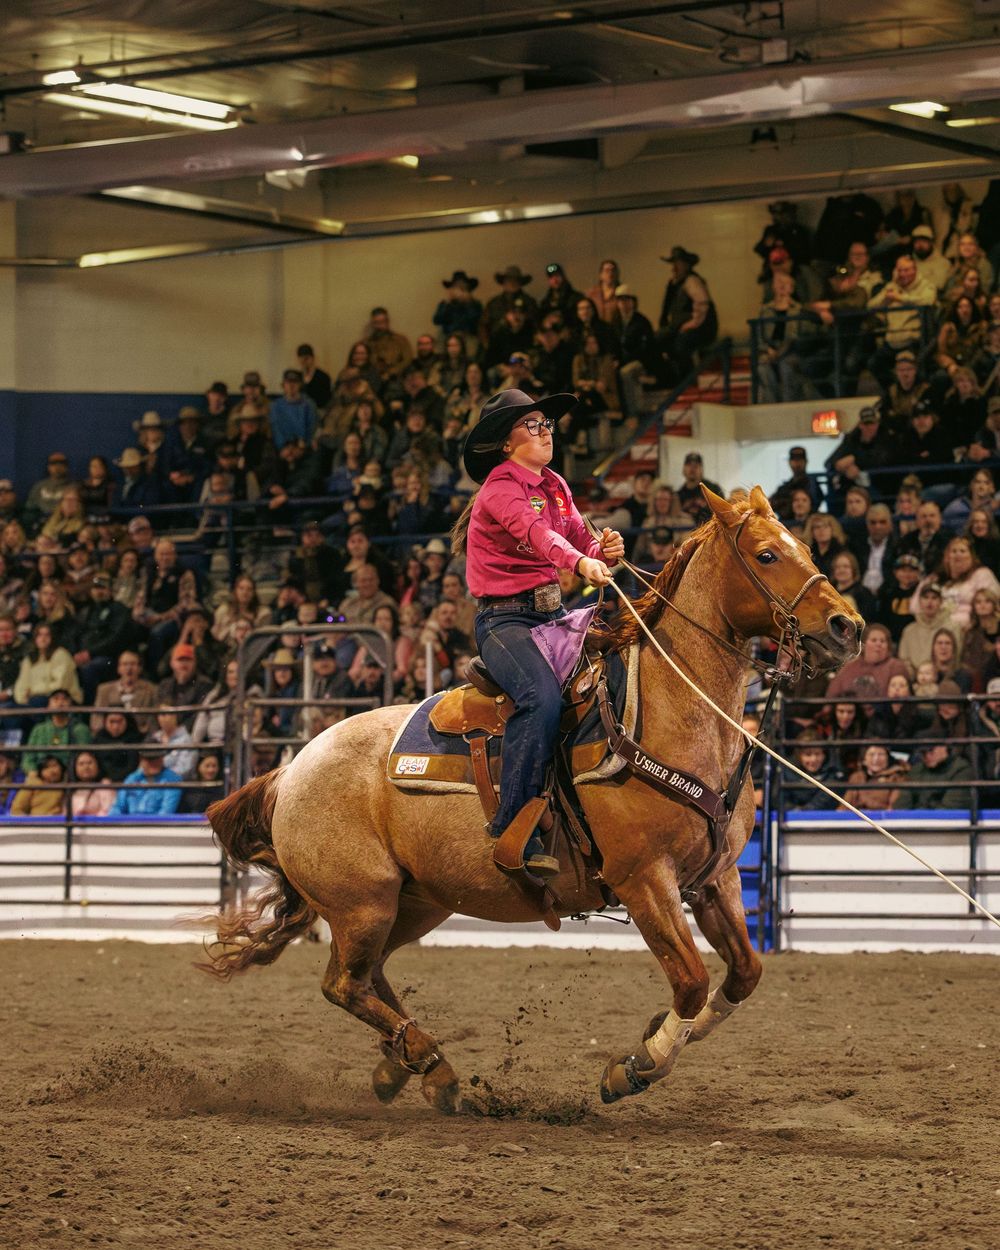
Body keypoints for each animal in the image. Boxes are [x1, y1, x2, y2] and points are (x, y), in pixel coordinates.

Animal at [200, 486, 863, 1112]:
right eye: (767, 554)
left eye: (807, 545)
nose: (848, 627)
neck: (665, 711)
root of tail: (290, 770)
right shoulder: (645, 879)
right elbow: (694, 980)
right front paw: (634, 1067)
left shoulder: (716, 878)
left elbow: (744, 974)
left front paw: (668, 1033)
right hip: (364, 903)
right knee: (344, 983)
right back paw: (427, 1061)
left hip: (413, 903)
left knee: (365, 976)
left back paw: (411, 1065)